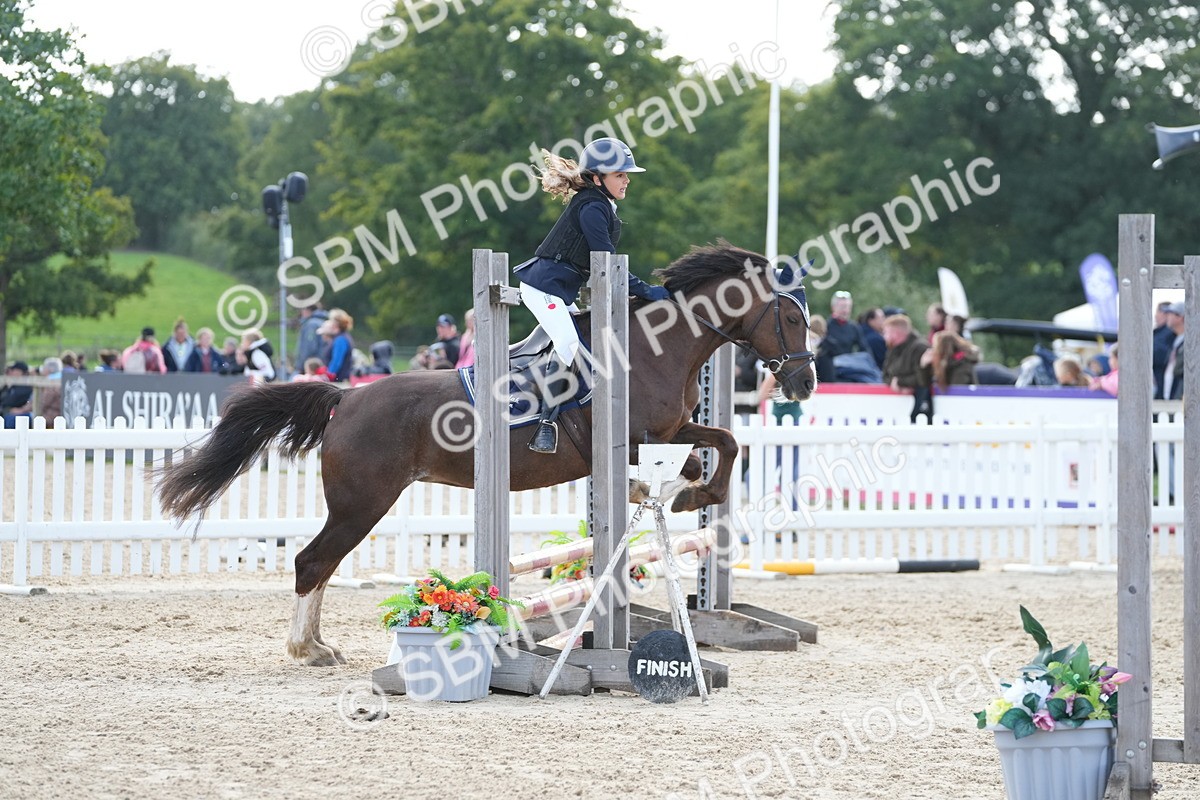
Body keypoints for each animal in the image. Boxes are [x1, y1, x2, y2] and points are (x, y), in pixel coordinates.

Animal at [157, 242, 816, 665]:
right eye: (790, 315)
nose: (805, 383)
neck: (657, 347)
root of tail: (347, 395)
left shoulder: (677, 428)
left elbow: (724, 442)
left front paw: (693, 495)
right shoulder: (635, 439)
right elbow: (692, 461)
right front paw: (679, 494)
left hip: (359, 504)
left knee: (320, 564)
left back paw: (316, 645)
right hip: (361, 503)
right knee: (311, 562)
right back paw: (306, 649)